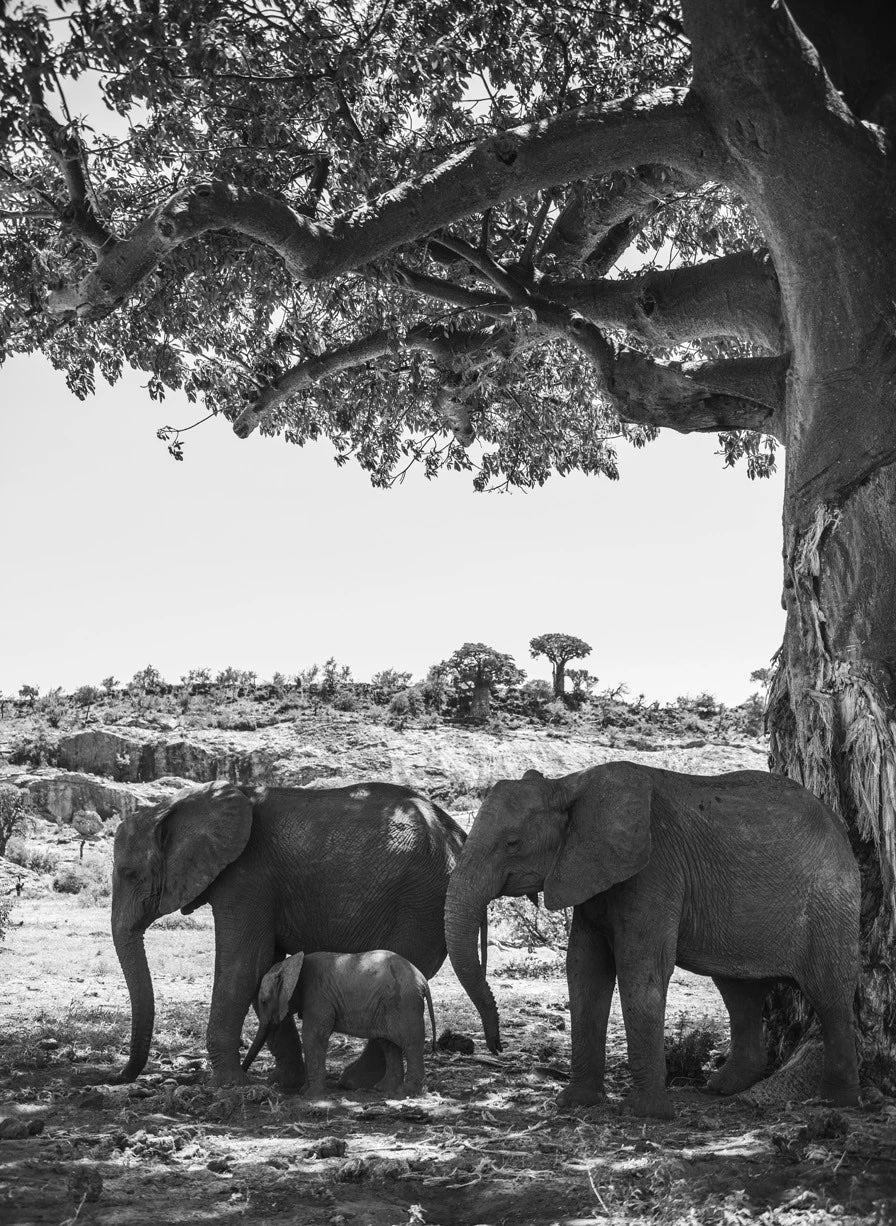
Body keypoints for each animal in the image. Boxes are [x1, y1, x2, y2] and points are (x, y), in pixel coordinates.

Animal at [241, 951, 438, 1098]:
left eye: (264, 1001)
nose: (244, 1073)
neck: (292, 964)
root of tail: (422, 980)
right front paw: (305, 1091)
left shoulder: (318, 997)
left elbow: (313, 1036)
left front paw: (310, 1096)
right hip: (388, 1006)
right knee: (388, 1044)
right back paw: (383, 1089)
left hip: (405, 1003)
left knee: (411, 1044)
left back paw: (406, 1092)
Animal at [448, 765, 862, 1123]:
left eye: (512, 843)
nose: (497, 1047)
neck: (567, 785)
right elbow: (584, 968)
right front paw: (574, 1103)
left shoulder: (654, 869)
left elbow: (639, 968)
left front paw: (644, 1114)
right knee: (739, 991)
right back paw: (723, 1088)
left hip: (830, 901)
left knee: (829, 993)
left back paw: (838, 1101)